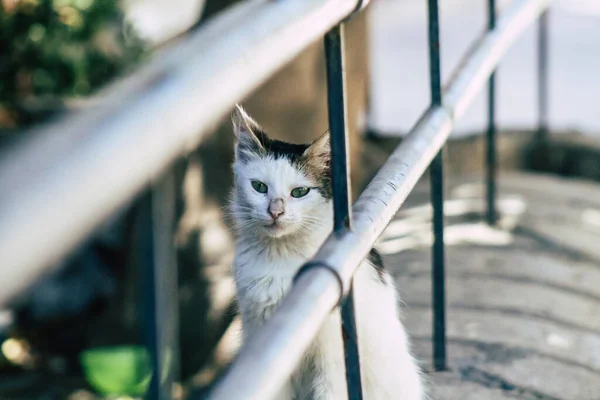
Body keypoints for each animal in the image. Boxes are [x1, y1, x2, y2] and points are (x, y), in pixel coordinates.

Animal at [227, 105, 424, 400]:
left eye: (299, 192)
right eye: (259, 187)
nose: (275, 211)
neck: (280, 257)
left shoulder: (333, 355)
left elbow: (330, 392)